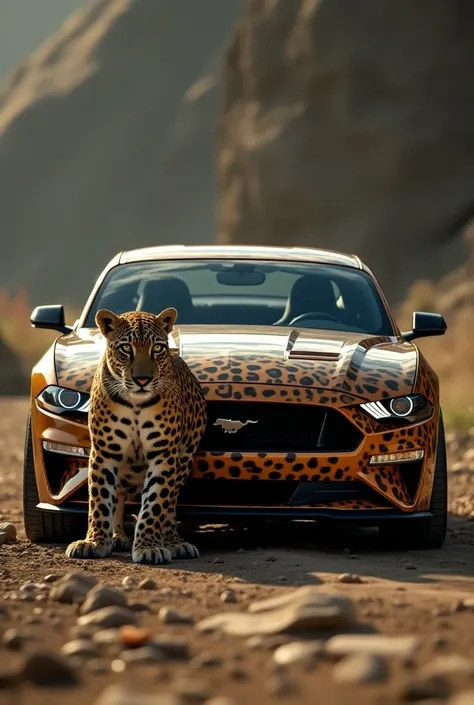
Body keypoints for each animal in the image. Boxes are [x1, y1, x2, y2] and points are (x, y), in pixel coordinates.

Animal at [65, 306, 207, 564]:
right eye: (126, 349)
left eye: (157, 349)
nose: (143, 380)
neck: (135, 403)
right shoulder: (104, 452)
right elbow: (100, 500)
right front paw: (94, 542)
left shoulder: (163, 454)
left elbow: (155, 504)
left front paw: (149, 547)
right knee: (120, 496)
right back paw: (118, 536)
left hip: (184, 459)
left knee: (170, 505)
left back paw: (174, 542)